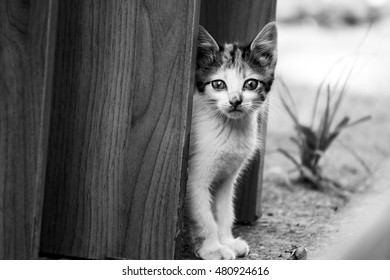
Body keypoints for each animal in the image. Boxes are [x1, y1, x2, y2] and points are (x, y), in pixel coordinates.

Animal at [186, 22, 278, 260]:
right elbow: (204, 217)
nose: (235, 101)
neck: (230, 129)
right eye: (218, 84)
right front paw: (213, 249)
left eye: (251, 84)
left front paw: (226, 241)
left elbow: (225, 211)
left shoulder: (227, 179)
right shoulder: (194, 180)